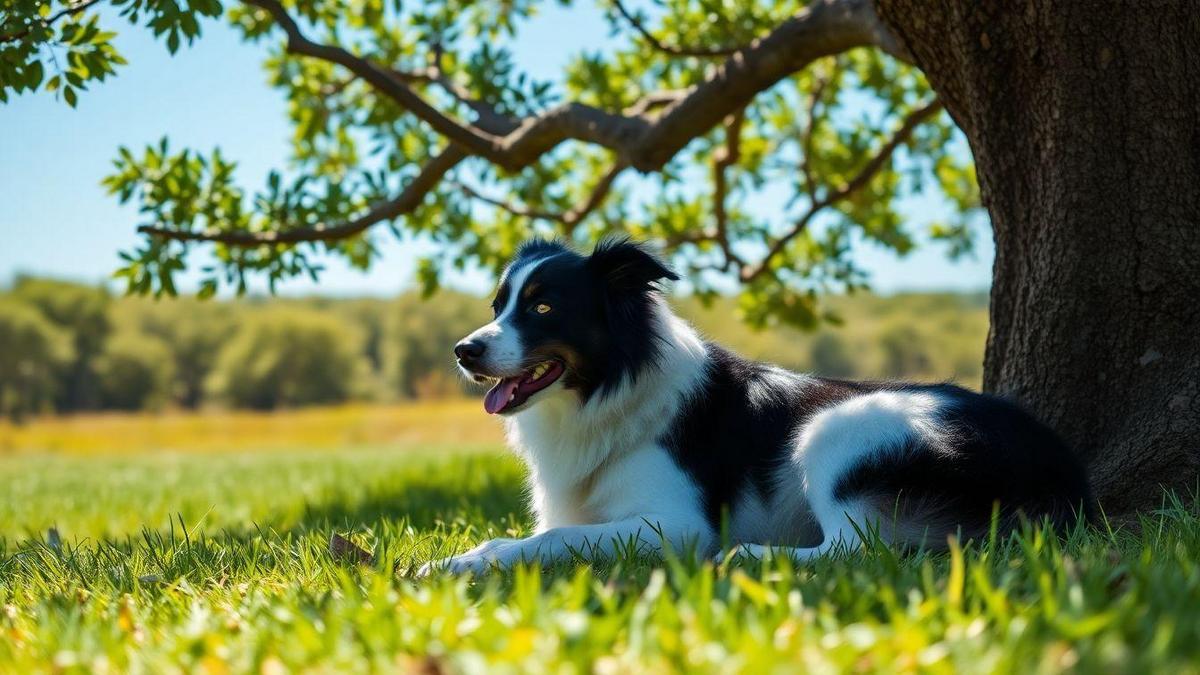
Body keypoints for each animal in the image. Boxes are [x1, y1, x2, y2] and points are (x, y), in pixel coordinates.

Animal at [417, 237, 1094, 571]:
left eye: (543, 307)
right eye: (497, 305)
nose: (463, 351)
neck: (612, 386)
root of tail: (1061, 465)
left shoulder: (677, 526)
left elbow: (549, 540)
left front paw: (471, 564)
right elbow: (523, 535)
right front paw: (453, 561)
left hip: (839, 429)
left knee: (858, 549)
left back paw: (753, 556)